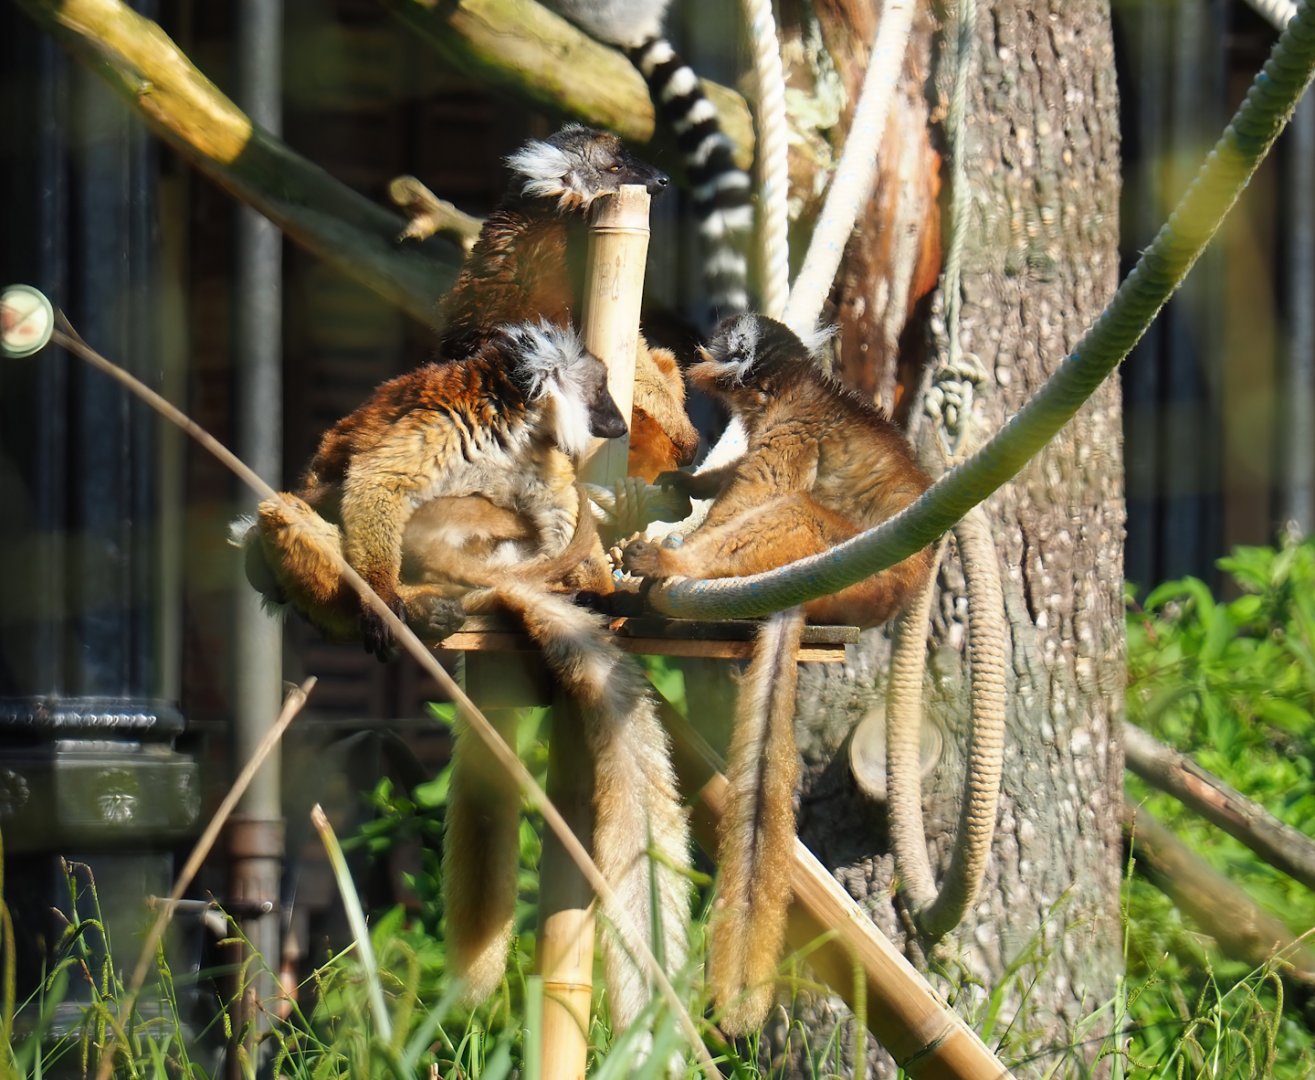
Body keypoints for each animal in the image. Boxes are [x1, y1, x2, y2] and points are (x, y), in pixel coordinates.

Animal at [621, 313, 935, 1032]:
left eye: (724, 337)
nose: (708, 337)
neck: (796, 385)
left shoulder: (792, 426)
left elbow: (763, 487)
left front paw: (681, 545)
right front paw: (685, 488)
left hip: (839, 560)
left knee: (796, 511)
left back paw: (679, 568)